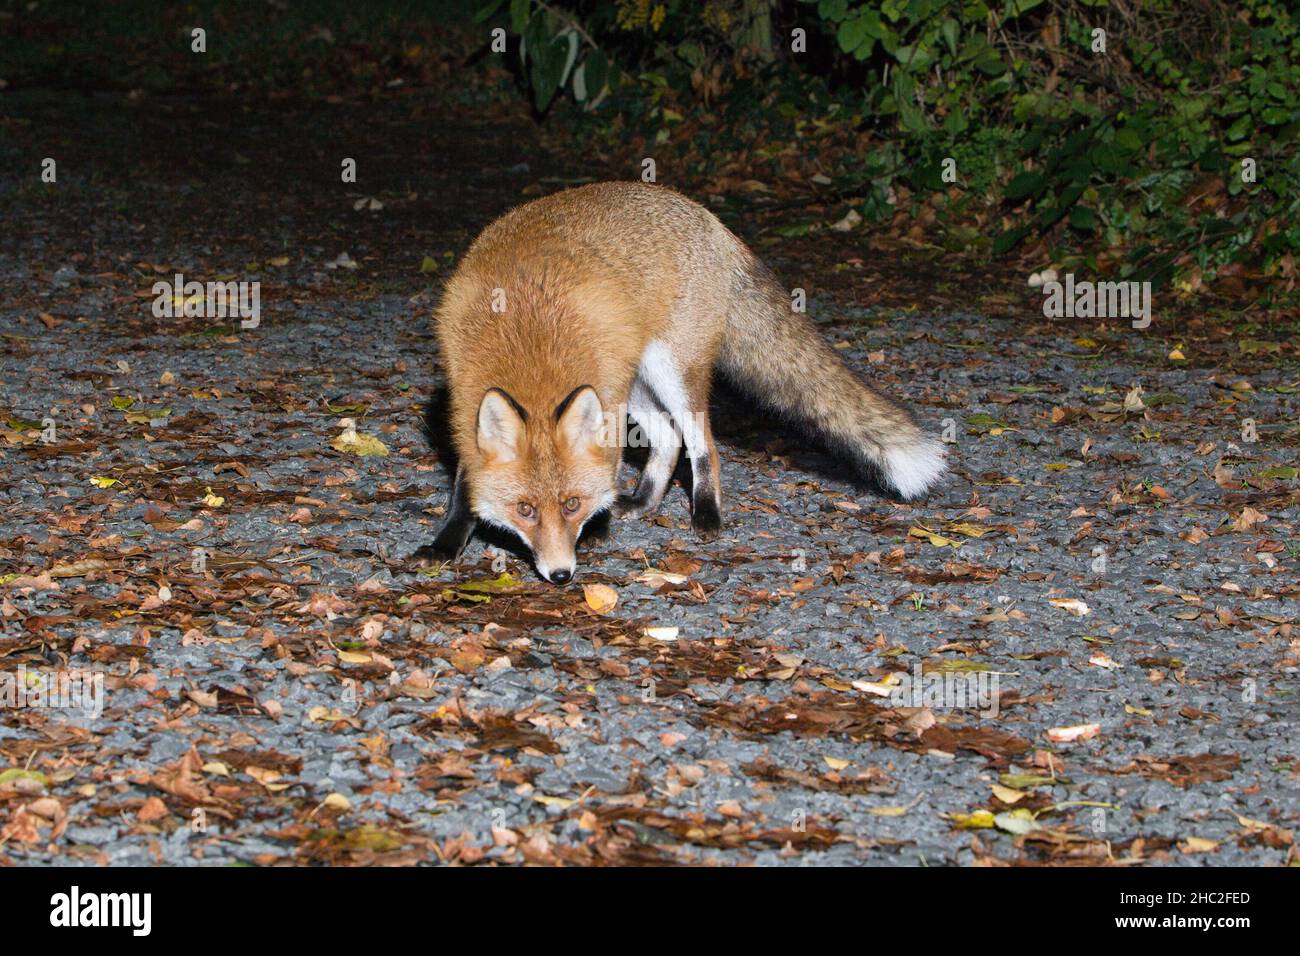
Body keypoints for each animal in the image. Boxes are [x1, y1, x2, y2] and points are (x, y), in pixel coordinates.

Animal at [426, 180, 946, 582]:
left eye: (572, 505)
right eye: (525, 510)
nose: (561, 573)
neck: (527, 337)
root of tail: (703, 214)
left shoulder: (608, 396)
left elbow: (612, 463)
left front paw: (598, 526)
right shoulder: (464, 396)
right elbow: (465, 482)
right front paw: (446, 544)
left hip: (670, 372)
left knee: (702, 443)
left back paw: (707, 515)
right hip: (640, 382)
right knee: (668, 438)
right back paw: (642, 502)